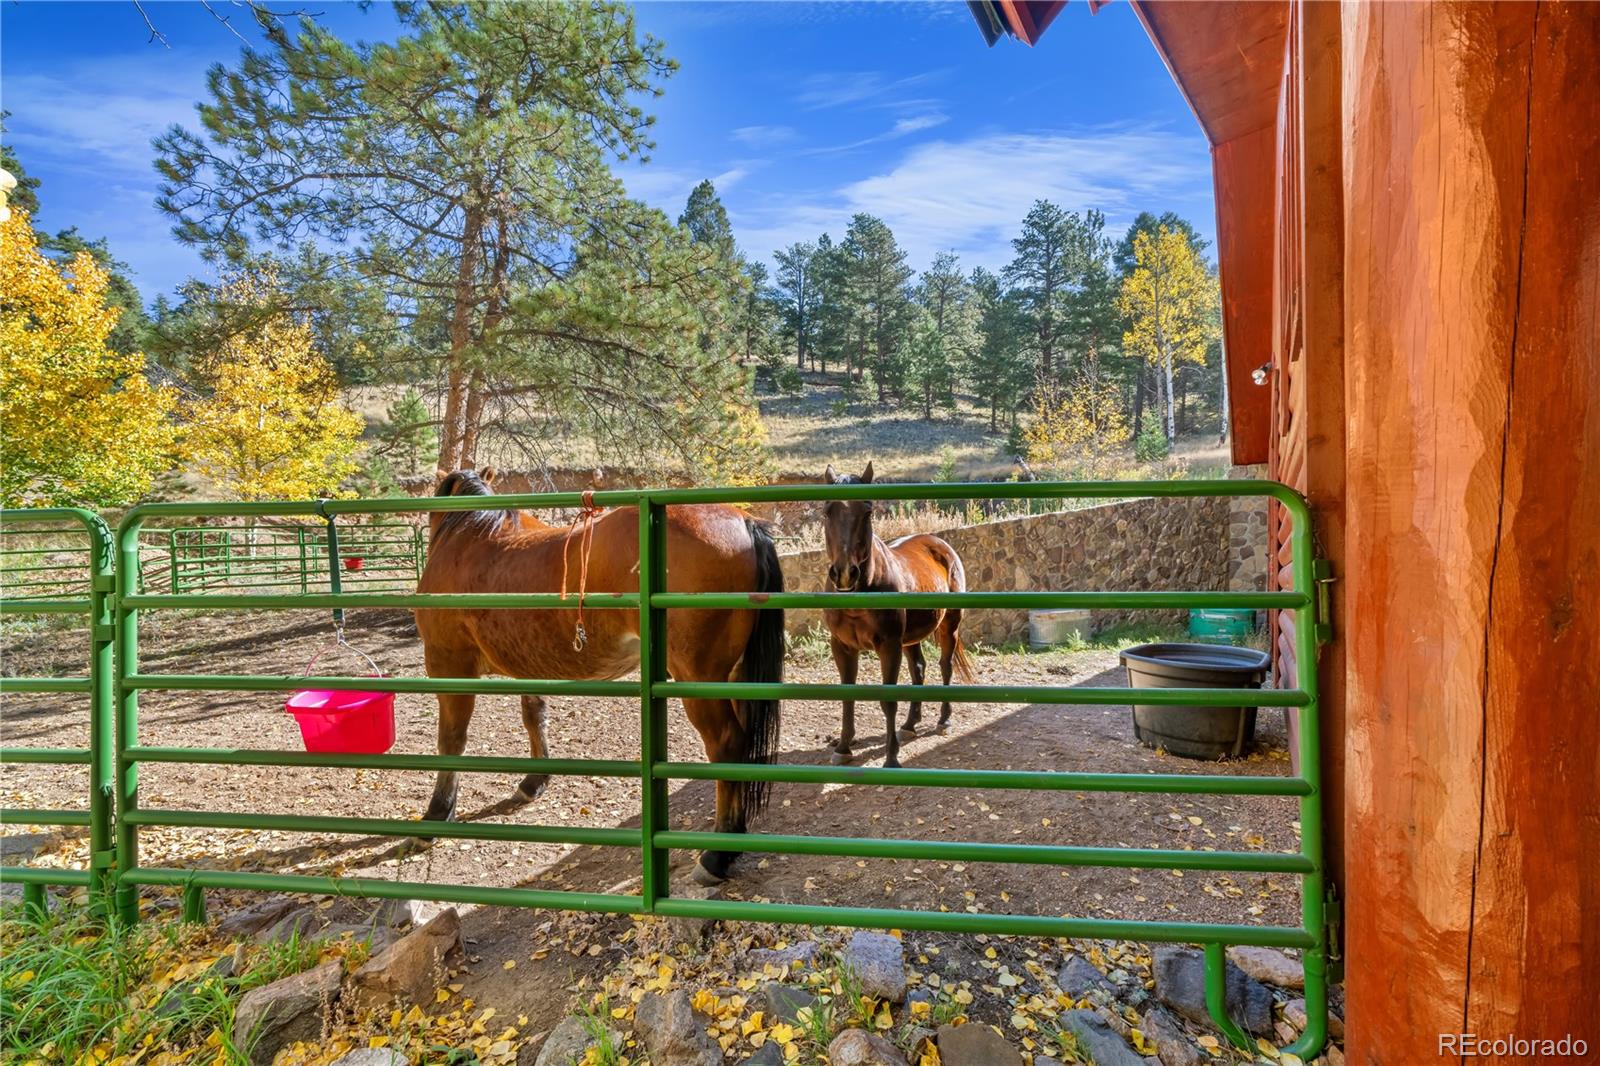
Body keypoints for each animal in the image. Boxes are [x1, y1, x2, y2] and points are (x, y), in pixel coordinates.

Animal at [416, 464, 784, 877]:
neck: (467, 537)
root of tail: (744, 523)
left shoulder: (447, 661)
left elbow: (451, 740)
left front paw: (436, 815)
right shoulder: (527, 663)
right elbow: (534, 716)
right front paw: (533, 782)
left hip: (698, 679)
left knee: (726, 744)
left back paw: (717, 855)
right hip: (733, 675)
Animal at [819, 457, 966, 765]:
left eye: (867, 511)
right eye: (827, 511)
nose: (845, 573)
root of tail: (940, 545)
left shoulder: (889, 645)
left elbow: (888, 699)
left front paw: (891, 758)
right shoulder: (842, 646)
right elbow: (847, 694)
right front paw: (843, 748)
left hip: (949, 626)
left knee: (945, 666)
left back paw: (944, 721)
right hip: (911, 638)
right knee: (918, 669)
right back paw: (909, 725)